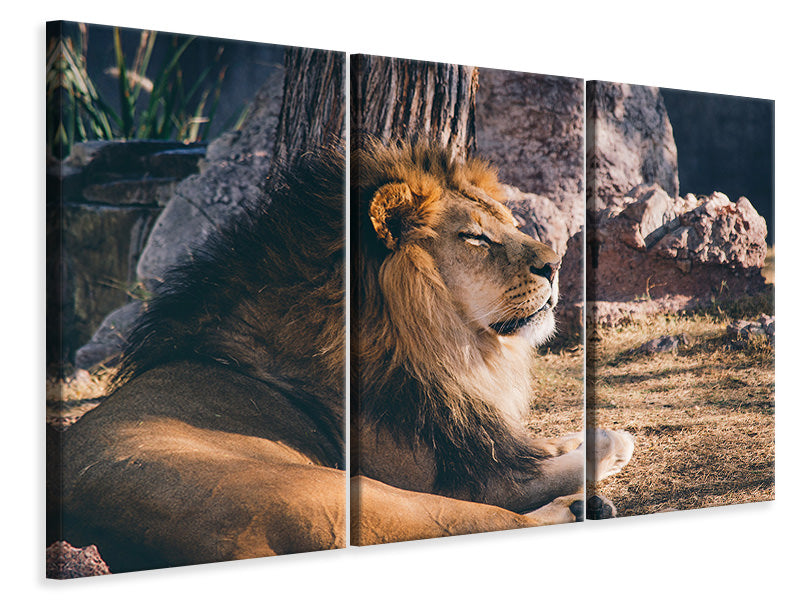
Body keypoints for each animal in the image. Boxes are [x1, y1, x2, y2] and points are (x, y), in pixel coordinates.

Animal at [351, 142, 634, 544]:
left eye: (511, 224)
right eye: (475, 237)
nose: (556, 266)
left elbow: (531, 445)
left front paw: (578, 437)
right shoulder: (462, 480)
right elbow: (556, 469)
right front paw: (612, 442)